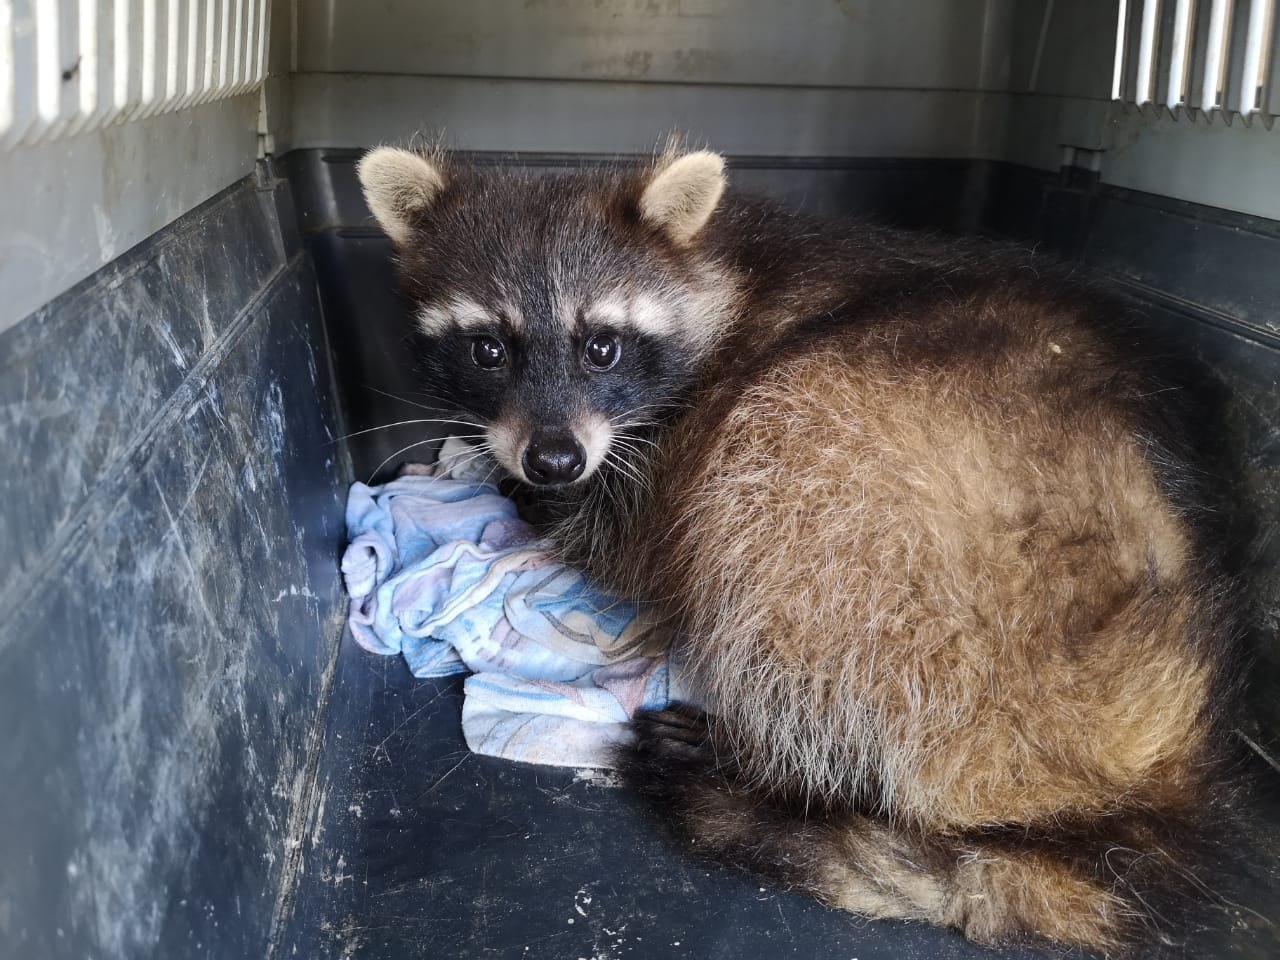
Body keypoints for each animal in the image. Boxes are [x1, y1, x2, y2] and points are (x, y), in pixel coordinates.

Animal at [356, 144, 1244, 955]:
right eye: (488, 349)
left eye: (599, 347)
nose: (552, 461)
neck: (719, 267)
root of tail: (1176, 746)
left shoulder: (670, 453)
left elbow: (620, 536)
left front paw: (529, 498)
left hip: (893, 493)